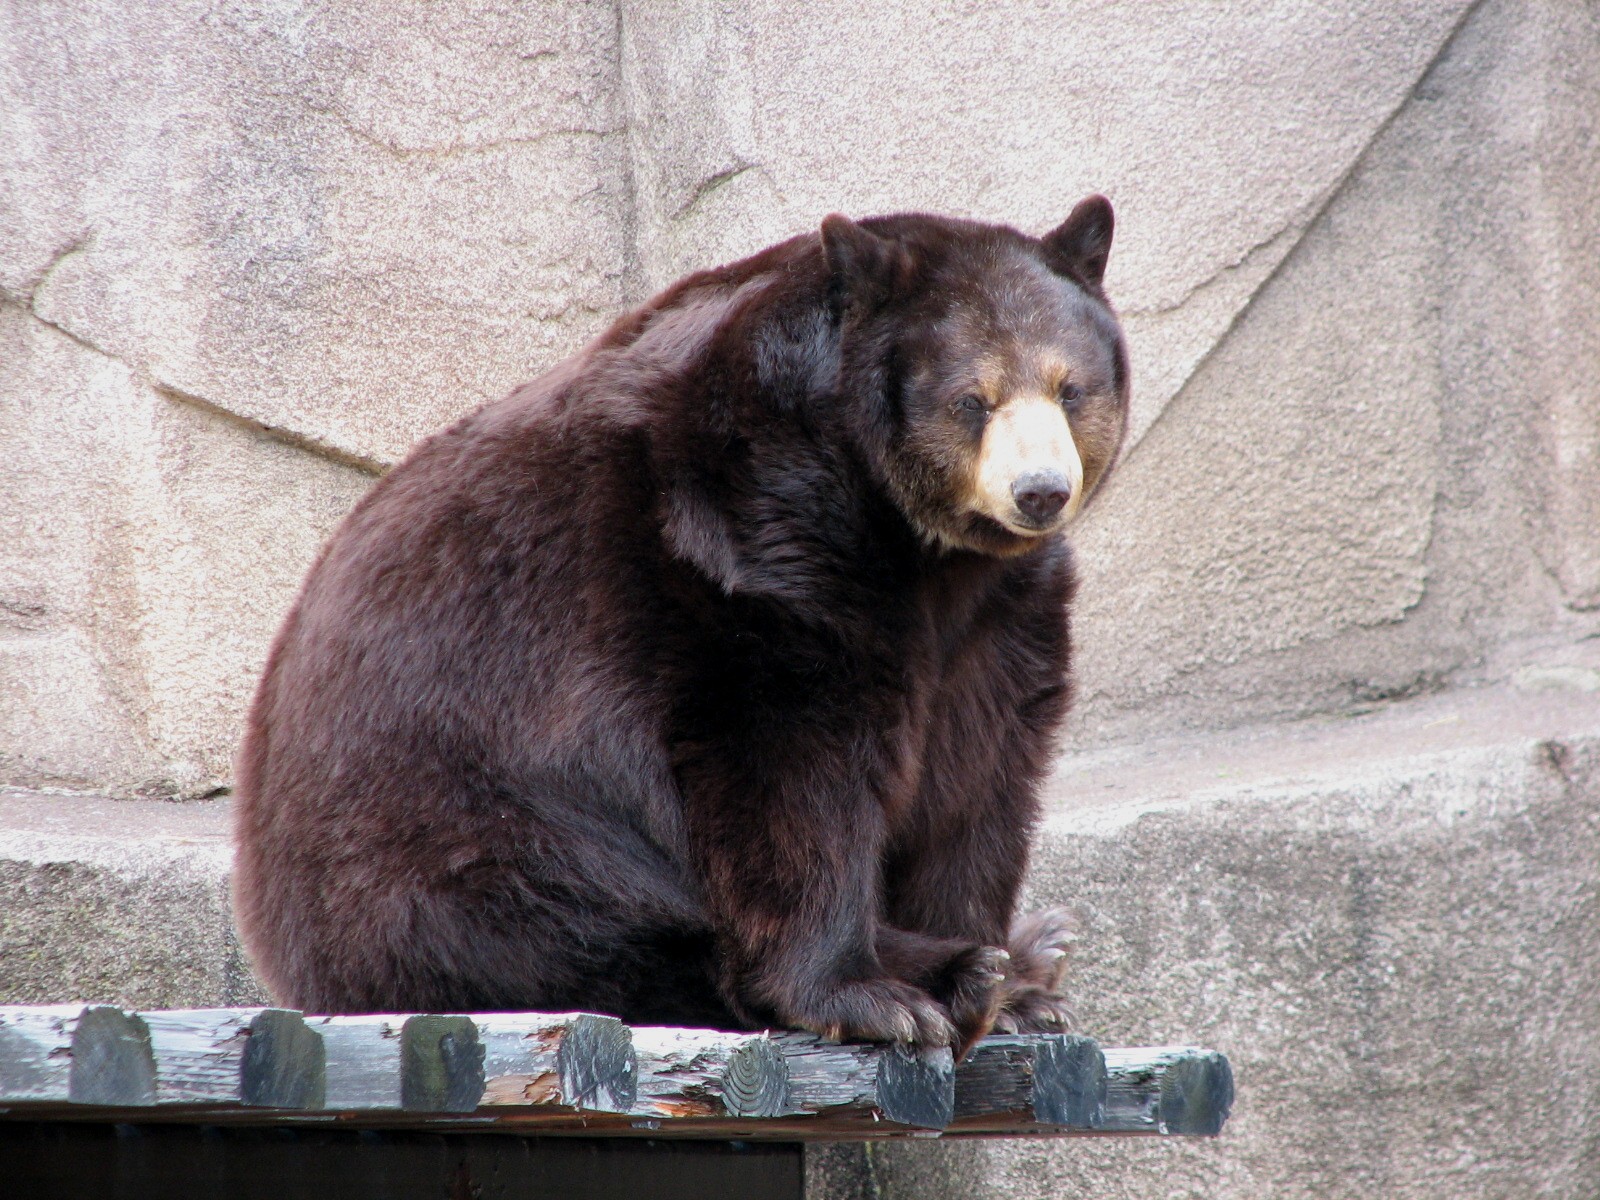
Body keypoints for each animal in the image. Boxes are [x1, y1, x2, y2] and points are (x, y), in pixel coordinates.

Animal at [232, 196, 1129, 1055]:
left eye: (1069, 388)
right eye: (973, 398)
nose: (1040, 491)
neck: (903, 532)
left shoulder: (992, 610)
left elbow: (978, 765)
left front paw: (1000, 970)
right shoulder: (750, 539)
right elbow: (787, 764)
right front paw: (874, 993)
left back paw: (1020, 962)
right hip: (456, 822)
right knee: (578, 917)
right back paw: (959, 972)